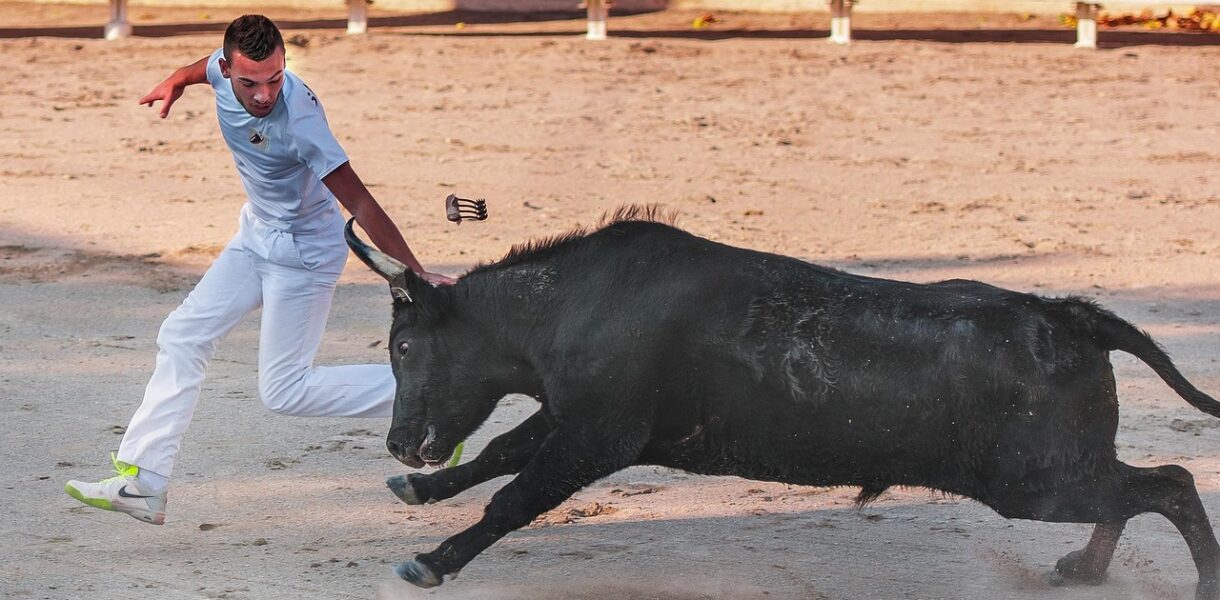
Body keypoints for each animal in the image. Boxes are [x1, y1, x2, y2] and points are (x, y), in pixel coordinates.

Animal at [344, 209, 1220, 599]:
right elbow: (499, 455)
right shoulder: (575, 420)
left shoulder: (598, 436)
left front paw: (430, 561)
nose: (398, 445)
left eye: (404, 347)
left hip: (1034, 482)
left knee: (1168, 484)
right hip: (1053, 475)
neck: (568, 304)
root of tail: (1070, 314)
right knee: (1142, 488)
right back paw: (1081, 569)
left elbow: (515, 499)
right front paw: (417, 489)